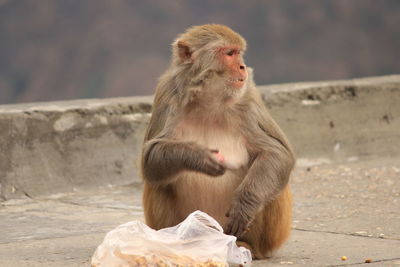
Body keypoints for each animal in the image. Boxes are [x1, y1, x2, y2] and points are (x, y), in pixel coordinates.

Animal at [140, 24, 294, 260]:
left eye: (239, 53)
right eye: (229, 53)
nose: (242, 67)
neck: (209, 100)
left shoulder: (248, 97)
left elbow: (277, 152)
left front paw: (244, 205)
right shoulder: (168, 93)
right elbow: (150, 157)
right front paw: (197, 157)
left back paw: (246, 245)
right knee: (159, 181)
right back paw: (180, 242)